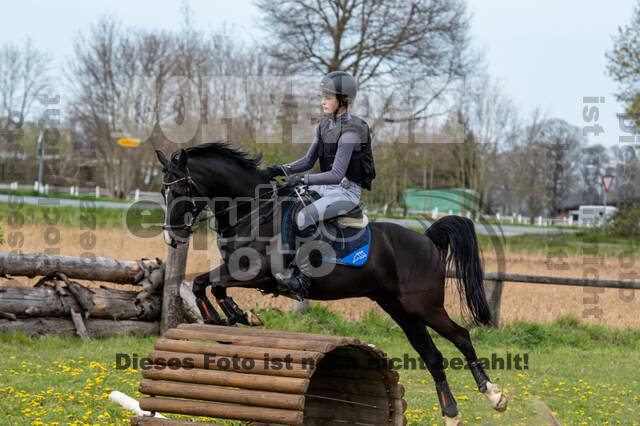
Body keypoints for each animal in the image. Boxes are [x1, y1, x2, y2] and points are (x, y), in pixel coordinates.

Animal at [156, 142, 510, 422]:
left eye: (180, 190)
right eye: (163, 191)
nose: (172, 238)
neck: (253, 211)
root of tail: (425, 238)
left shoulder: (257, 273)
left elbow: (213, 284)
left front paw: (235, 316)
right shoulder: (236, 269)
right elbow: (204, 284)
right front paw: (225, 318)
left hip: (424, 305)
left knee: (461, 336)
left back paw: (494, 395)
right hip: (399, 309)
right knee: (432, 356)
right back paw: (451, 414)